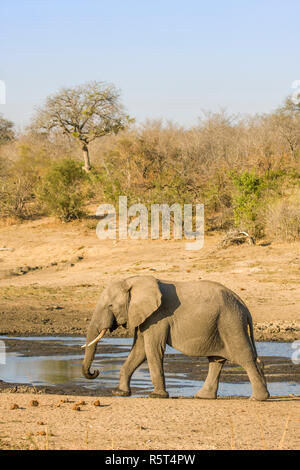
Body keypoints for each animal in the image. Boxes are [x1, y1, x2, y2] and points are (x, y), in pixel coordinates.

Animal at [81, 276, 268, 400]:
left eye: (110, 306)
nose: (95, 371)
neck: (133, 281)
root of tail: (244, 306)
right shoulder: (145, 316)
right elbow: (139, 350)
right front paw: (120, 393)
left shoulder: (157, 316)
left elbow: (152, 349)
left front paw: (156, 396)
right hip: (221, 323)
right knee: (216, 360)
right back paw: (203, 397)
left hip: (231, 322)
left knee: (245, 357)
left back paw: (258, 398)